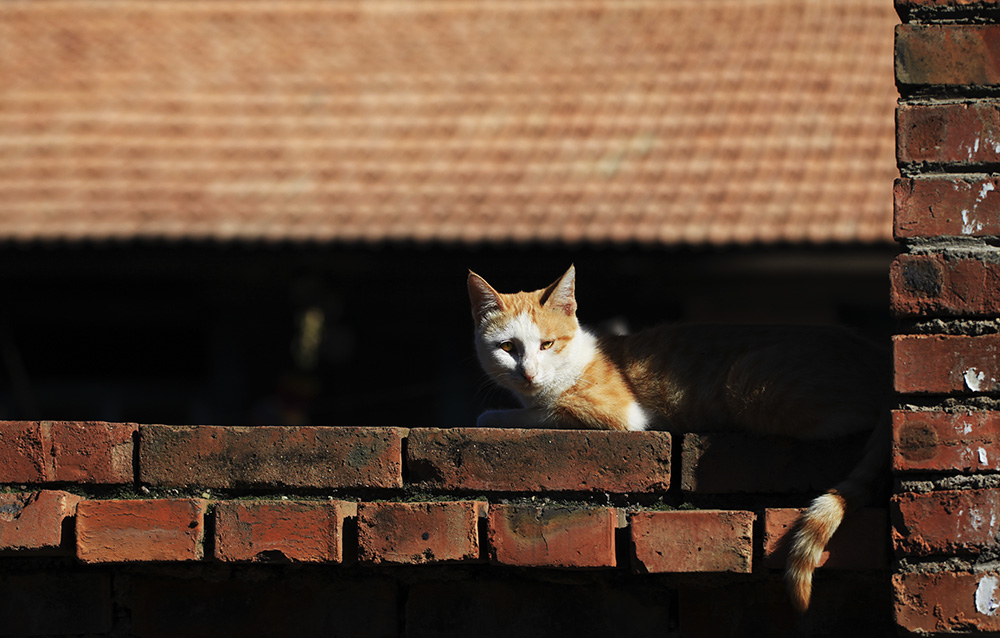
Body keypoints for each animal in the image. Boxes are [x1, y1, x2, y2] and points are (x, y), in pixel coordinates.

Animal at [468, 264, 892, 616]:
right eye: (508, 347)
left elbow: (528, 412)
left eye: (547, 345)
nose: (528, 374)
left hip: (750, 387)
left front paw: (493, 414)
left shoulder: (617, 413)